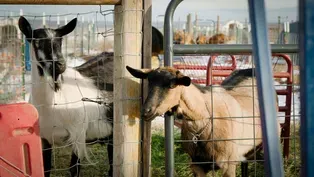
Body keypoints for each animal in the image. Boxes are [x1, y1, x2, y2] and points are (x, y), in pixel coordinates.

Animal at [17, 16, 113, 177]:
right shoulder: (44, 139)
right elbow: (46, 169)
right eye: (37, 41)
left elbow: (74, 169)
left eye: (60, 40)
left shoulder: (78, 136)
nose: (60, 65)